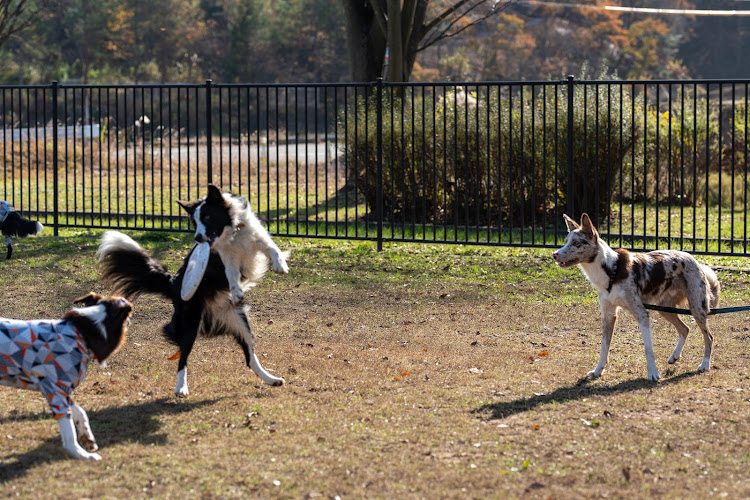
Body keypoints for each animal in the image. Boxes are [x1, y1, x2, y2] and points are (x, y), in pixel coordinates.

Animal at [0, 292, 133, 460]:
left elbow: (80, 412)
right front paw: (82, 455)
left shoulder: (63, 390)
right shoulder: (56, 392)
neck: (81, 333)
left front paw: (88, 439)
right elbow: (69, 432)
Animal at [97, 186, 290, 396]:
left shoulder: (257, 237)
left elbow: (272, 248)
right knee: (182, 359)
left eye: (208, 217)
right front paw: (236, 291)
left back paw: (271, 379)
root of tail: (174, 284)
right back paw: (181, 387)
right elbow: (231, 274)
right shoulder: (227, 257)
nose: (197, 238)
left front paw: (280, 265)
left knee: (249, 358)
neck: (233, 232)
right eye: (194, 222)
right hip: (191, 324)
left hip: (241, 323)